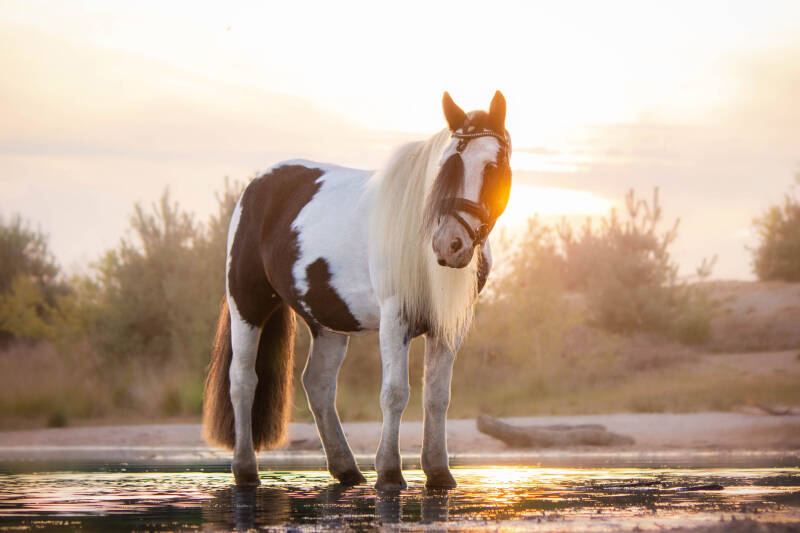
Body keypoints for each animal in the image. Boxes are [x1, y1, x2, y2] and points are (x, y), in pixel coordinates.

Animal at [202, 91, 512, 490]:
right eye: (446, 167)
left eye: (493, 166)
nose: (449, 245)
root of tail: (257, 187)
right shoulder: (395, 319)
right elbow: (395, 393)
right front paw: (390, 472)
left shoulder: (447, 327)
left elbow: (437, 396)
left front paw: (439, 472)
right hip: (248, 304)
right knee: (242, 380)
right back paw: (245, 470)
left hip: (326, 324)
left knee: (318, 385)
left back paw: (346, 469)